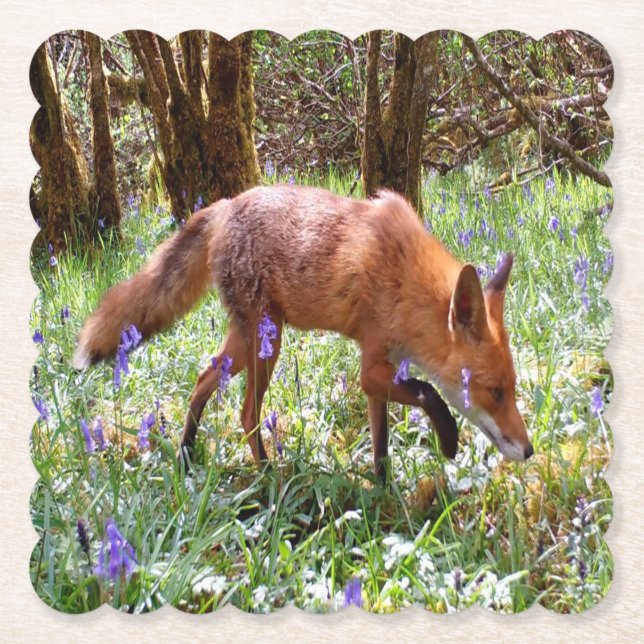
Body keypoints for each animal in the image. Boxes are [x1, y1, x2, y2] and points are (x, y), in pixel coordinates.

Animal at [74, 185, 533, 480]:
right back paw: (267, 476)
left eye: (513, 388)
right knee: (246, 413)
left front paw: (383, 496)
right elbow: (429, 392)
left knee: (204, 379)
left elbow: (381, 447)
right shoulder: (373, 366)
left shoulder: (380, 373)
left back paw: (187, 456)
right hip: (266, 343)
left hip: (248, 341)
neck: (404, 278)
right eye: (495, 392)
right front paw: (449, 440)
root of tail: (225, 204)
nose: (528, 450)